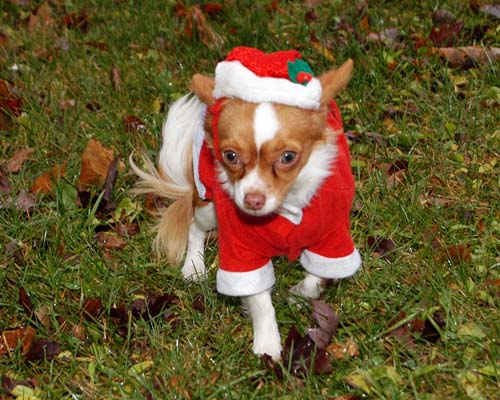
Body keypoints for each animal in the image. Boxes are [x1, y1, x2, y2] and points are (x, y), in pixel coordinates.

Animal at [131, 47, 362, 360]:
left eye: (288, 157)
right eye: (230, 156)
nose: (252, 200)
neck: (285, 206)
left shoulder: (332, 237)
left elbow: (317, 278)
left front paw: (299, 296)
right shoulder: (242, 255)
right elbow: (260, 300)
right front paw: (268, 346)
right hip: (207, 204)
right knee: (194, 225)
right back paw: (194, 266)